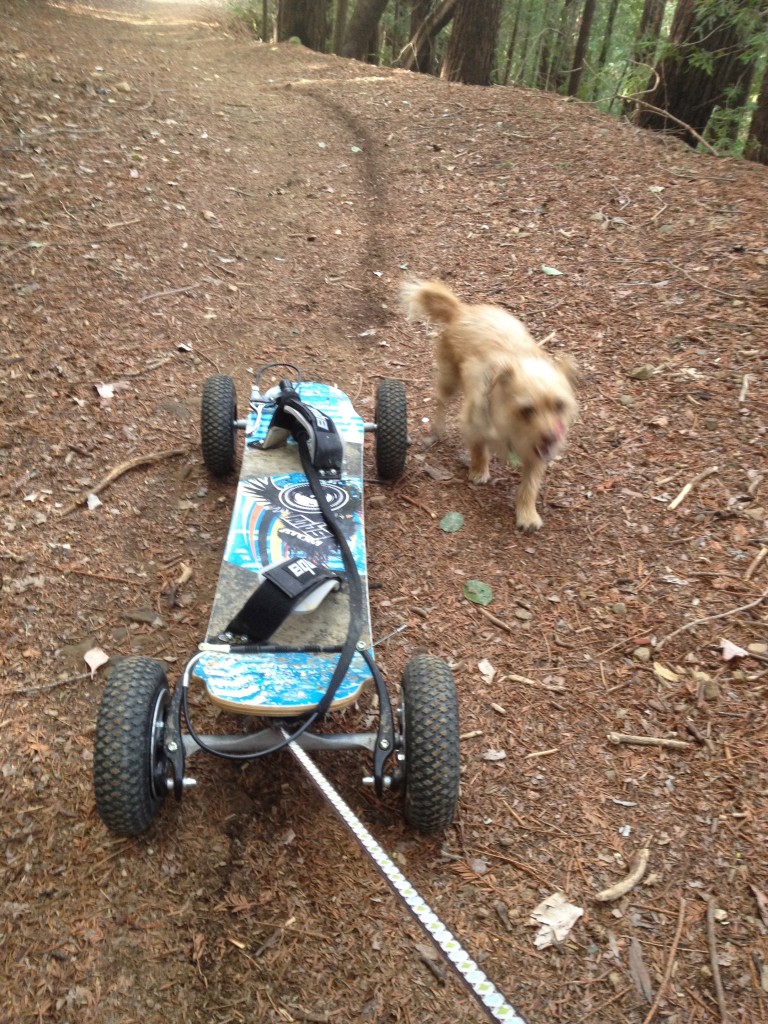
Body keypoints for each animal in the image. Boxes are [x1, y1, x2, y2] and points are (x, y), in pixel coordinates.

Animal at [403, 280, 577, 536]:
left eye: (559, 405)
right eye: (527, 410)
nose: (552, 437)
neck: (512, 427)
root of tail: (462, 310)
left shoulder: (536, 454)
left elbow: (530, 485)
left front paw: (527, 513)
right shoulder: (473, 423)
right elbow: (478, 449)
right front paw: (478, 471)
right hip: (449, 380)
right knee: (440, 402)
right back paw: (436, 430)